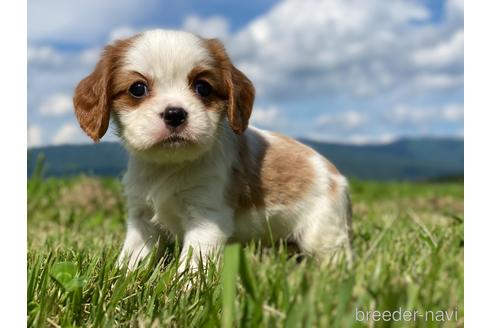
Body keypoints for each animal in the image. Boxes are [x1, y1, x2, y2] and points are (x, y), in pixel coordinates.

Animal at [72, 30, 354, 272]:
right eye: (137, 88)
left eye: (203, 87)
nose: (175, 114)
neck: (169, 165)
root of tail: (335, 175)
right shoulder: (142, 218)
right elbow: (133, 256)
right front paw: (122, 278)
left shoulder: (206, 217)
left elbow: (193, 264)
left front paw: (184, 291)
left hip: (323, 230)